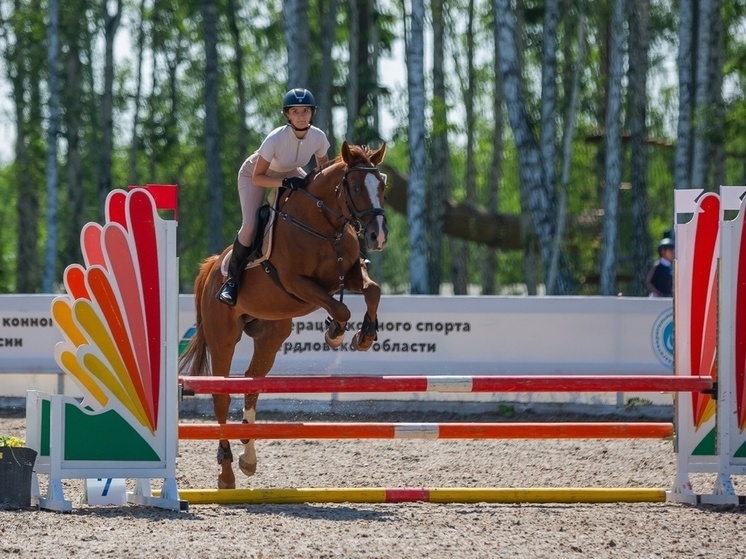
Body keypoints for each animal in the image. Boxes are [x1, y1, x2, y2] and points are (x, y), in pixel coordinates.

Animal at [177, 141, 386, 490]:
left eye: (382, 185)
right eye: (356, 187)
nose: (377, 237)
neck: (324, 227)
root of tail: (212, 267)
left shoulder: (350, 274)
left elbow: (373, 291)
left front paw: (365, 336)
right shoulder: (297, 283)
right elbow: (340, 307)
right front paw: (336, 333)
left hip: (271, 336)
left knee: (252, 383)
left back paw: (248, 458)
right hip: (223, 339)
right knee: (221, 397)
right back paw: (227, 472)